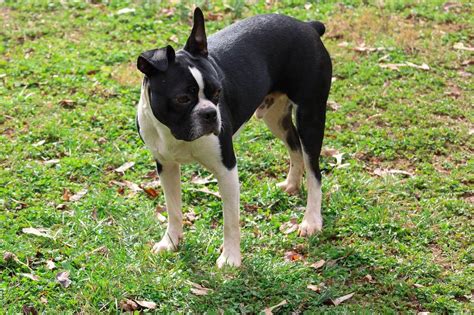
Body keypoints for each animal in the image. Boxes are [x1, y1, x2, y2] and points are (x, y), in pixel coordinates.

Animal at [135, 7, 332, 268]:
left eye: (218, 92)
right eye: (182, 99)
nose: (210, 113)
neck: (176, 134)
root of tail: (308, 26)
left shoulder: (226, 168)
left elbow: (230, 220)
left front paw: (230, 258)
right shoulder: (166, 166)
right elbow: (173, 208)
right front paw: (170, 242)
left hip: (310, 115)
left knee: (314, 170)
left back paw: (311, 221)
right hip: (275, 118)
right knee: (294, 146)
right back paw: (291, 184)